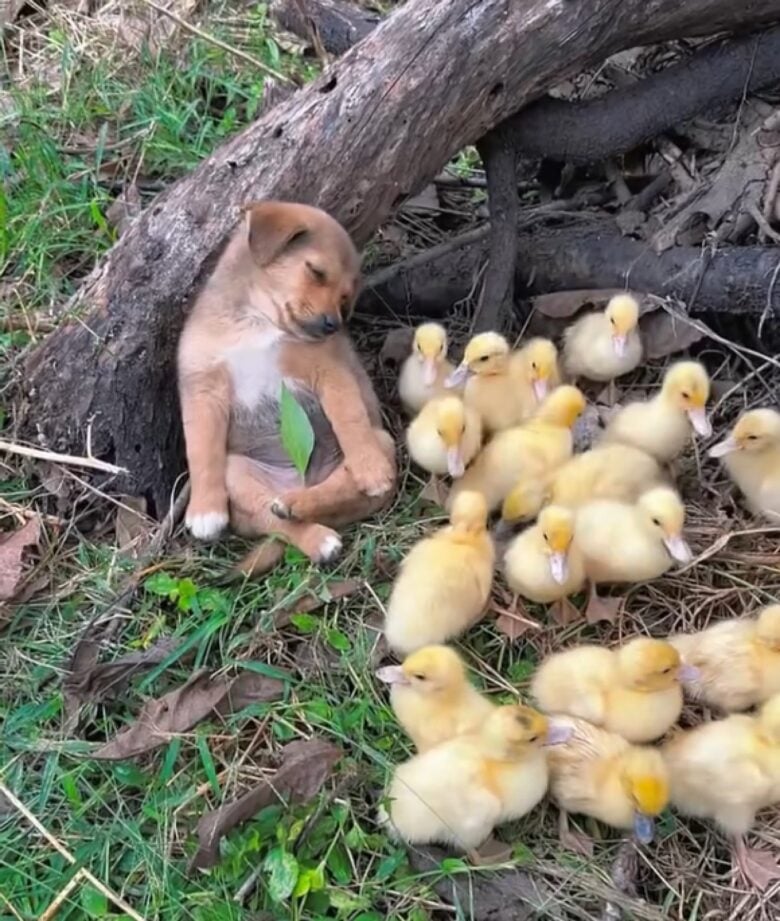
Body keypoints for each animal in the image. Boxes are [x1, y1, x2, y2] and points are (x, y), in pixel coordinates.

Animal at [177, 201, 396, 568]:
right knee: (273, 519)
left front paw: (371, 470)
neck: (256, 322)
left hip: (383, 441)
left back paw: (300, 504)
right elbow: (201, 450)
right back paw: (315, 536)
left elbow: (350, 418)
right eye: (316, 271)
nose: (332, 325)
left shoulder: (330, 372)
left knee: (338, 490)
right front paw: (205, 512)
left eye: (345, 297)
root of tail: (299, 479)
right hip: (236, 471)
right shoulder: (202, 389)